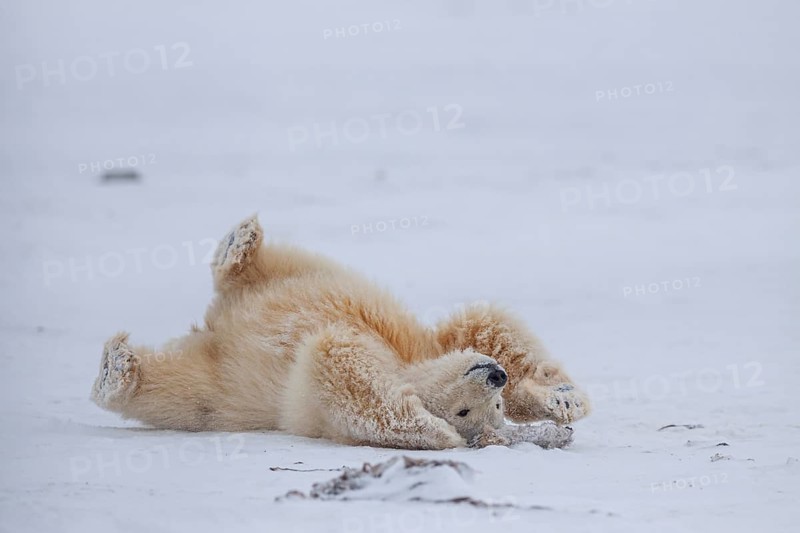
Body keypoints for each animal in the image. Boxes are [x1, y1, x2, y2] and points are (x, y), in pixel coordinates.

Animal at [91, 215, 589, 449]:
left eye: (480, 410)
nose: (494, 377)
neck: (406, 365)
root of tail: (218, 324)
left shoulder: (319, 404)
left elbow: (339, 360)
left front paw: (436, 431)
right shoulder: (422, 343)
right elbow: (480, 325)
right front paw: (562, 399)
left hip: (219, 389)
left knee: (177, 393)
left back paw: (116, 372)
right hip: (304, 276)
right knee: (273, 268)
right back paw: (241, 243)